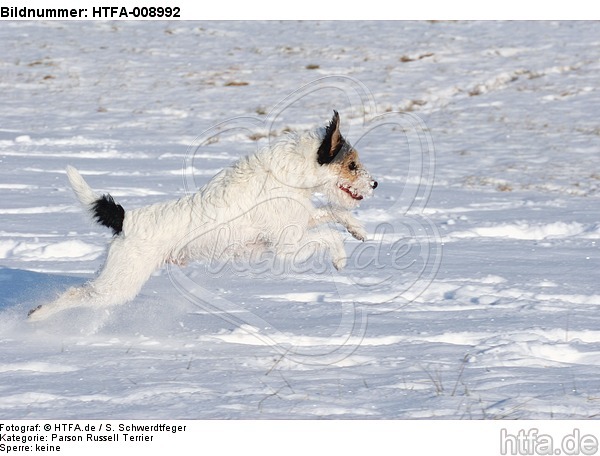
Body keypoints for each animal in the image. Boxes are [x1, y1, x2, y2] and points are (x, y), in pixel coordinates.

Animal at [28, 111, 378, 320]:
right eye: (352, 165)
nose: (375, 184)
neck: (288, 174)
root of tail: (126, 219)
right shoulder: (288, 247)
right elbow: (327, 234)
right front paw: (340, 258)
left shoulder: (299, 221)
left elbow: (331, 212)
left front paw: (358, 230)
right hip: (118, 283)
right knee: (78, 294)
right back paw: (38, 314)